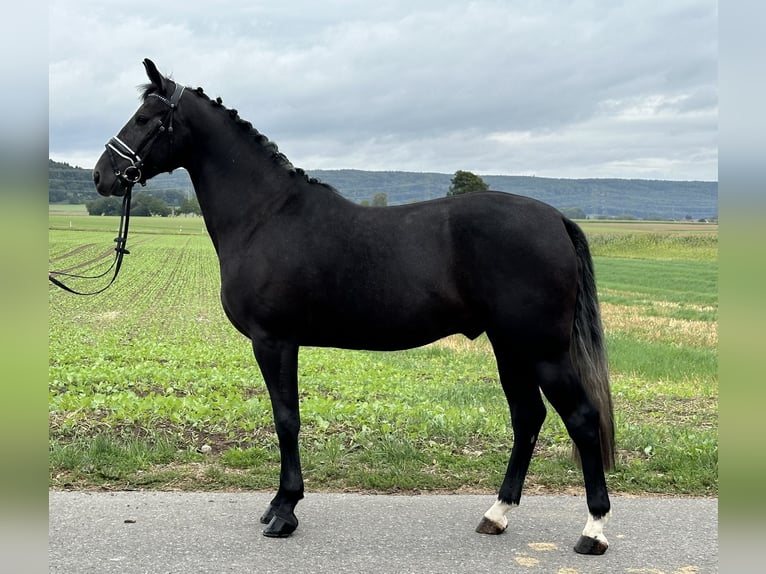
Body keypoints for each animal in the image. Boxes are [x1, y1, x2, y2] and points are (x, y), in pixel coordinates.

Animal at [93, 60, 616, 556]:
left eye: (144, 119)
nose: (102, 176)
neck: (267, 216)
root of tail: (556, 218)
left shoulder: (274, 341)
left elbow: (286, 419)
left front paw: (284, 511)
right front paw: (277, 506)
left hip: (542, 350)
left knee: (582, 419)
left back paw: (593, 530)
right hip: (510, 347)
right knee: (527, 417)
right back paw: (497, 514)